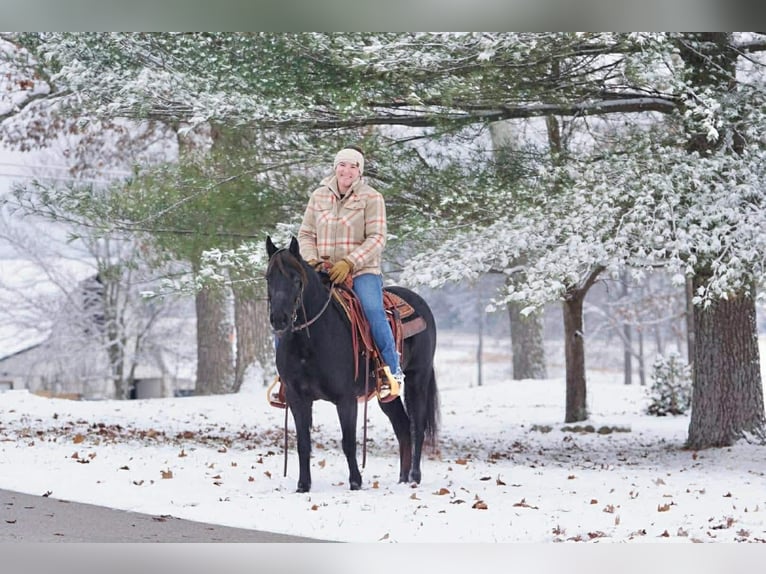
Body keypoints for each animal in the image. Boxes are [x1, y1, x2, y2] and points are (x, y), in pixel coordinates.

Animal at [265, 236, 439, 492]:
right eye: (268, 278)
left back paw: (414, 477)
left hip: (418, 378)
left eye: (296, 279)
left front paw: (356, 482)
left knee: (417, 426)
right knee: (403, 427)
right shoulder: (298, 398)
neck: (310, 340)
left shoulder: (346, 398)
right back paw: (402, 477)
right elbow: (303, 443)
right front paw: (303, 485)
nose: (279, 319)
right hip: (386, 394)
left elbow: (348, 442)